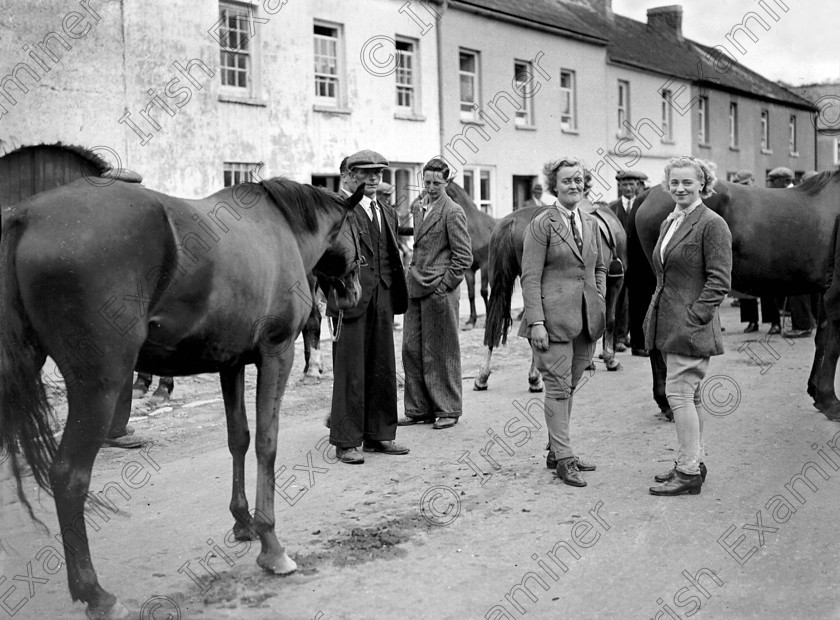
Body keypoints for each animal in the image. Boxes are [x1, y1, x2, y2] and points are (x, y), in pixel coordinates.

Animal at [1, 174, 366, 620]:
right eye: (358, 230)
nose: (354, 292)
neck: (282, 227)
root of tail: (23, 215)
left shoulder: (231, 364)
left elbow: (239, 439)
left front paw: (243, 522)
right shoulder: (276, 354)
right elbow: (266, 444)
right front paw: (271, 545)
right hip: (99, 386)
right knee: (70, 477)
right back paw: (96, 593)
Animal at [476, 201, 628, 390]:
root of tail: (512, 220)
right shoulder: (615, 283)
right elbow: (610, 320)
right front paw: (610, 359)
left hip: (499, 283)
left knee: (493, 323)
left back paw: (483, 376)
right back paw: (535, 377)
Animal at [632, 170, 840, 422]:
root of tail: (648, 194)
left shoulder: (824, 291)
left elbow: (823, 339)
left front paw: (816, 392)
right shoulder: (836, 292)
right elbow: (833, 344)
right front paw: (830, 401)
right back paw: (669, 404)